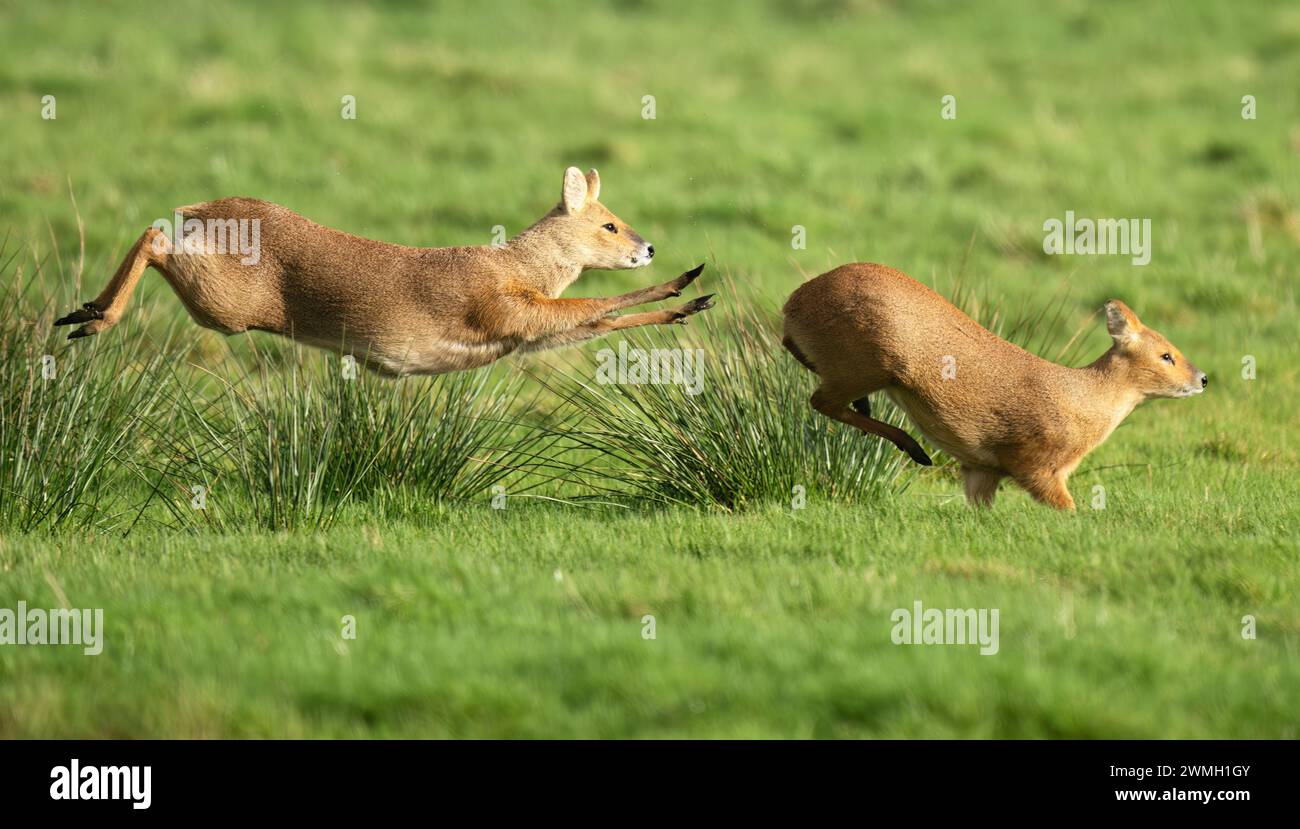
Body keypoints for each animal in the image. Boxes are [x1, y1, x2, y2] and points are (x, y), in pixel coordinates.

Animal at [55, 167, 717, 374]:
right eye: (608, 224)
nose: (648, 247)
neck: (518, 265)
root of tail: (208, 206)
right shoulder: (504, 311)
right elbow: (597, 307)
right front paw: (686, 281)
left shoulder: (521, 335)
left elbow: (598, 321)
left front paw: (690, 300)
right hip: (226, 305)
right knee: (153, 236)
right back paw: (91, 318)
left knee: (155, 232)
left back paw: (82, 312)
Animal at [774, 267, 1201, 514]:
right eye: (1166, 355)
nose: (1202, 378)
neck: (1081, 398)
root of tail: (792, 303)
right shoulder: (1033, 464)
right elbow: (1069, 510)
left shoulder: (981, 468)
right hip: (868, 364)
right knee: (821, 400)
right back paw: (915, 449)